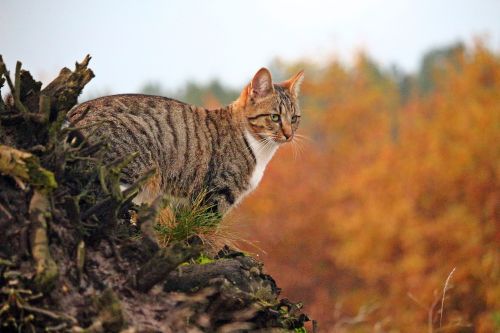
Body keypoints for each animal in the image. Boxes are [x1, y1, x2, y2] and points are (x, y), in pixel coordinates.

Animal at [68, 67, 302, 213]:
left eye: (294, 118)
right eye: (275, 117)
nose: (289, 134)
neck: (259, 147)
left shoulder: (188, 200)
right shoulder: (216, 194)